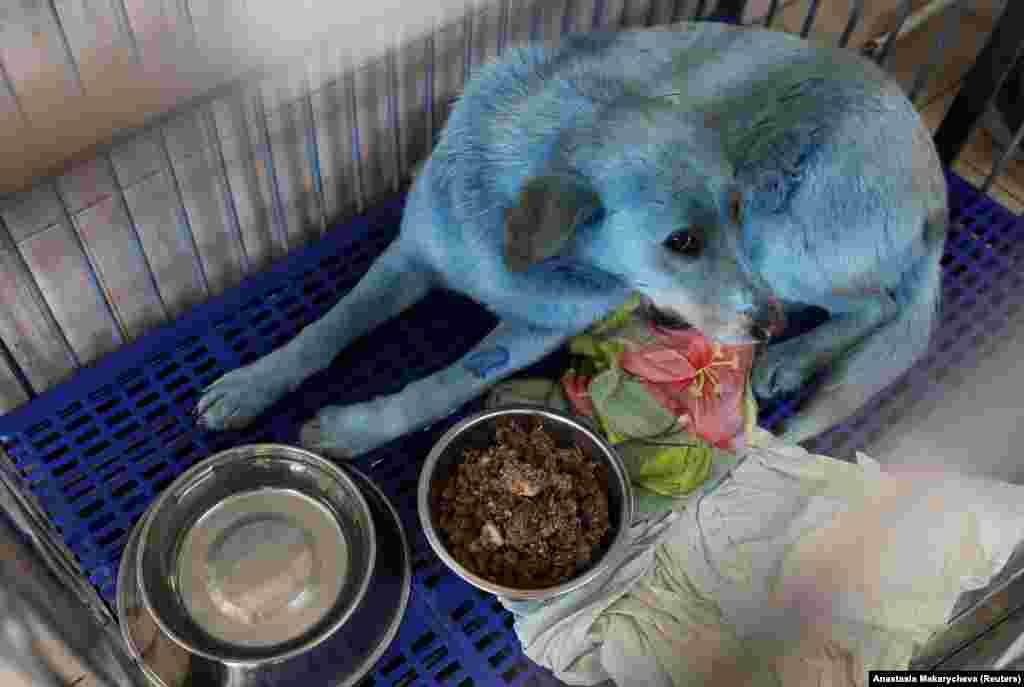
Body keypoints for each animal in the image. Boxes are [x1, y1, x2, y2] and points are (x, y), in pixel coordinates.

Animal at [195, 22, 946, 456]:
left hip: (783, 242)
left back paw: (791, 357)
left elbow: (441, 385)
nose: (767, 325)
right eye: (681, 242)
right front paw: (254, 383)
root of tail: (935, 175)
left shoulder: (534, 330)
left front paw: (356, 428)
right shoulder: (408, 257)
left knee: (876, 305)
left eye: (729, 211)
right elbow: (327, 329)